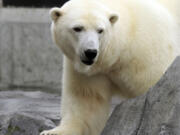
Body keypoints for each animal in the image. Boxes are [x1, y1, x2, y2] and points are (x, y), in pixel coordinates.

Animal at [40, 0, 179, 134]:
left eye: (100, 30)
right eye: (77, 28)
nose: (90, 52)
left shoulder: (148, 55)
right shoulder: (91, 72)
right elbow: (86, 99)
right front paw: (53, 132)